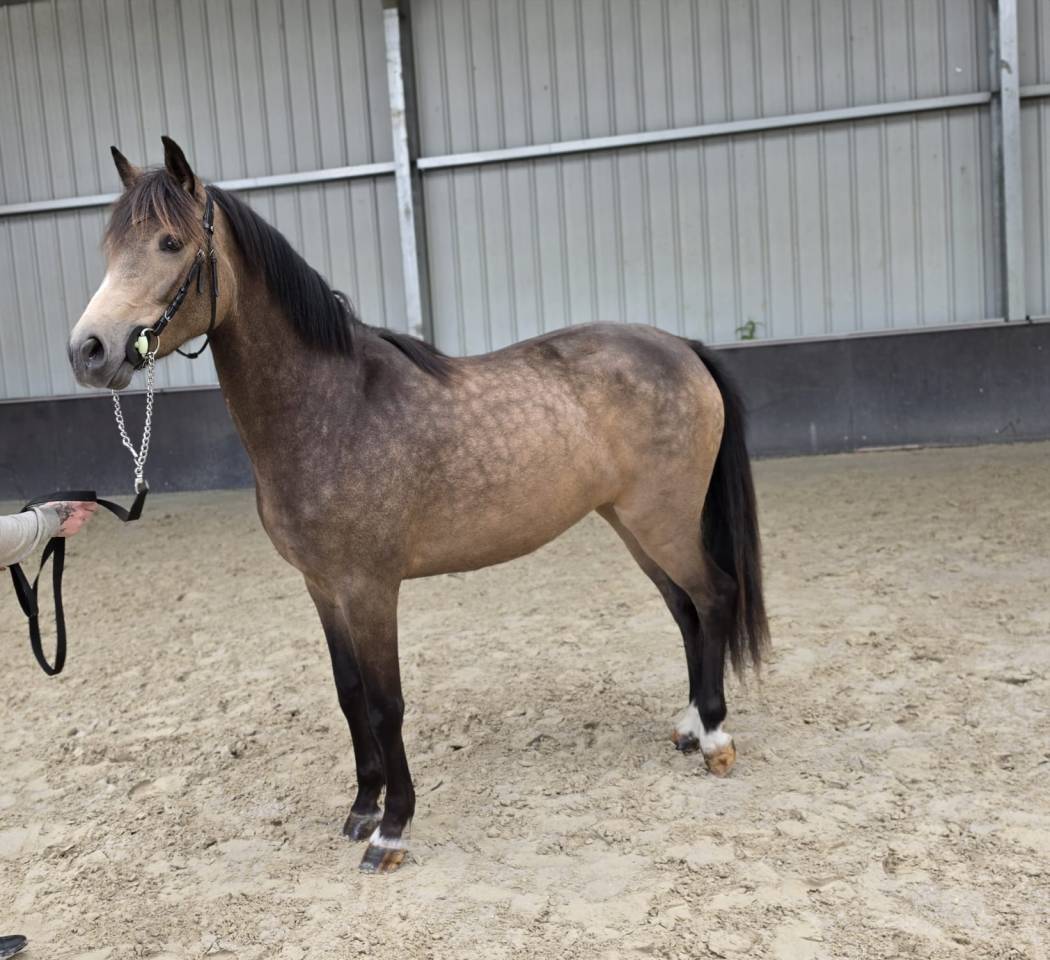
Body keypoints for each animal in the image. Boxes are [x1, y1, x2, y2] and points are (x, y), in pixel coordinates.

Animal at [69, 138, 769, 873]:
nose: (89, 350)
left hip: (662, 522)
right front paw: (361, 807)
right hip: (635, 526)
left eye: (170, 243)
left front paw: (392, 828)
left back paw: (716, 737)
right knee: (686, 612)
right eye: (111, 247)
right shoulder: (323, 588)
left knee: (715, 596)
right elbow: (350, 697)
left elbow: (386, 705)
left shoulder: (370, 589)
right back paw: (689, 725)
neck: (332, 409)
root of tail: (680, 346)